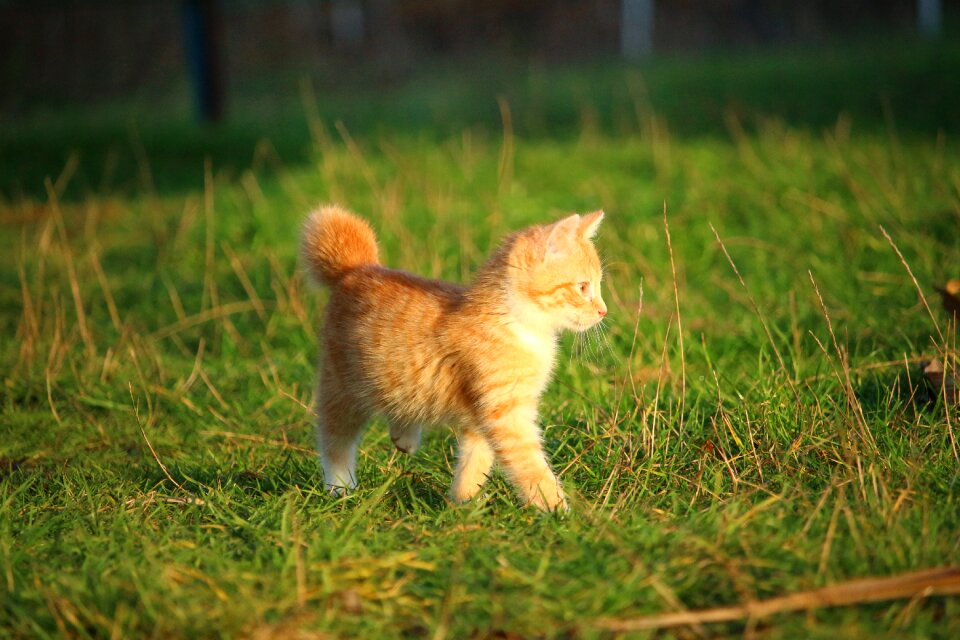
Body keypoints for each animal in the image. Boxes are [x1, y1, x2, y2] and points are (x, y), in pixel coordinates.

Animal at [300, 205, 608, 510]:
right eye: (583, 287)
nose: (603, 311)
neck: (515, 322)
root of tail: (357, 268)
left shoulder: (483, 415)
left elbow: (476, 461)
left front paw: (464, 504)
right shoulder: (506, 414)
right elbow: (530, 466)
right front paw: (559, 510)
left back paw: (404, 438)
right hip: (342, 386)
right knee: (335, 439)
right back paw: (340, 488)